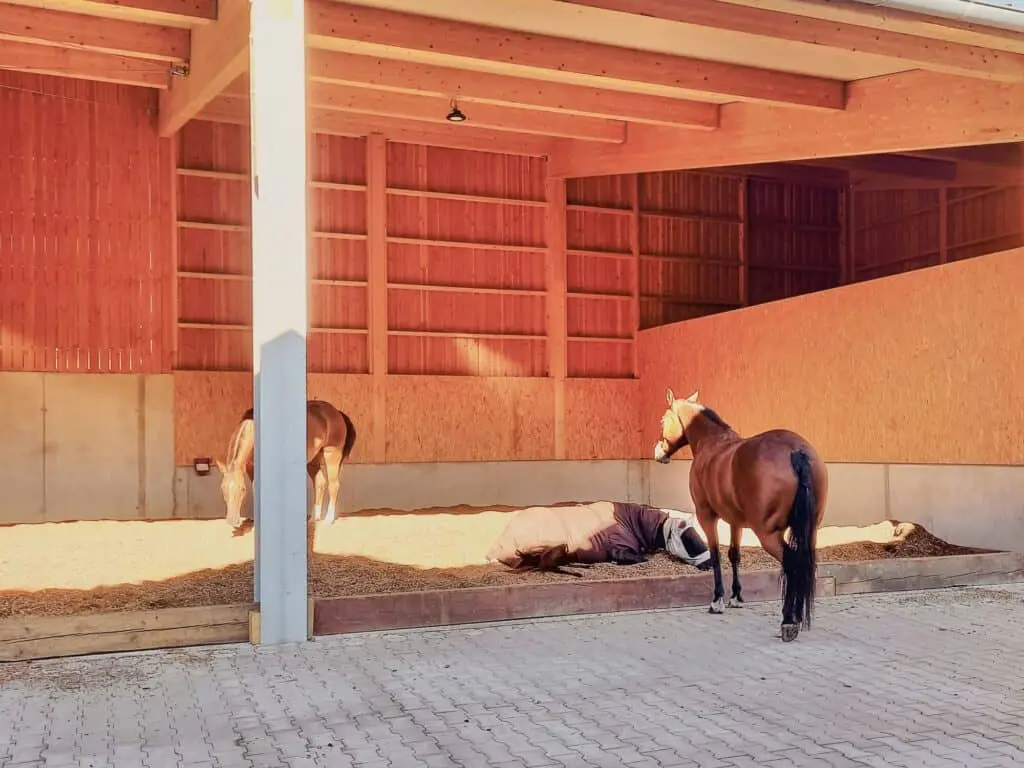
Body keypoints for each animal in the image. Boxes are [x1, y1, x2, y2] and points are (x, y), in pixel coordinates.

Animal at [216, 399, 357, 530]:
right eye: (222, 488)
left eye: (242, 489)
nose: (232, 521)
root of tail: (337, 412)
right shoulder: (252, 469)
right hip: (314, 459)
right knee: (320, 483)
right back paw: (313, 519)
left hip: (331, 453)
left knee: (333, 485)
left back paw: (328, 520)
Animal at [653, 389, 828, 642]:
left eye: (662, 421)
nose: (659, 453)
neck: (712, 443)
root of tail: (796, 451)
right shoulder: (735, 521)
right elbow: (734, 555)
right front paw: (736, 597)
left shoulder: (707, 516)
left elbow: (716, 554)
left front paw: (717, 601)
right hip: (810, 530)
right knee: (804, 564)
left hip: (767, 534)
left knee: (792, 562)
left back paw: (788, 621)